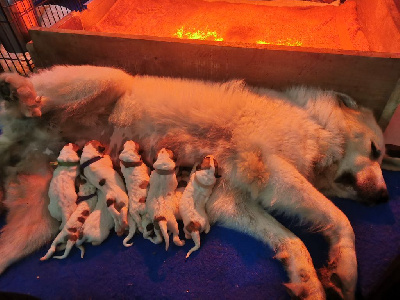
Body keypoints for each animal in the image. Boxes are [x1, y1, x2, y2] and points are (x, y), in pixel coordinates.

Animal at [0, 65, 390, 300]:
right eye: (375, 151)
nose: (386, 198)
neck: (317, 123)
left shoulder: (230, 200)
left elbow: (291, 240)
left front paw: (308, 281)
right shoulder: (274, 173)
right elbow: (339, 218)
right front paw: (346, 270)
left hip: (34, 227)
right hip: (105, 79)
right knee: (32, 100)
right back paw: (19, 92)